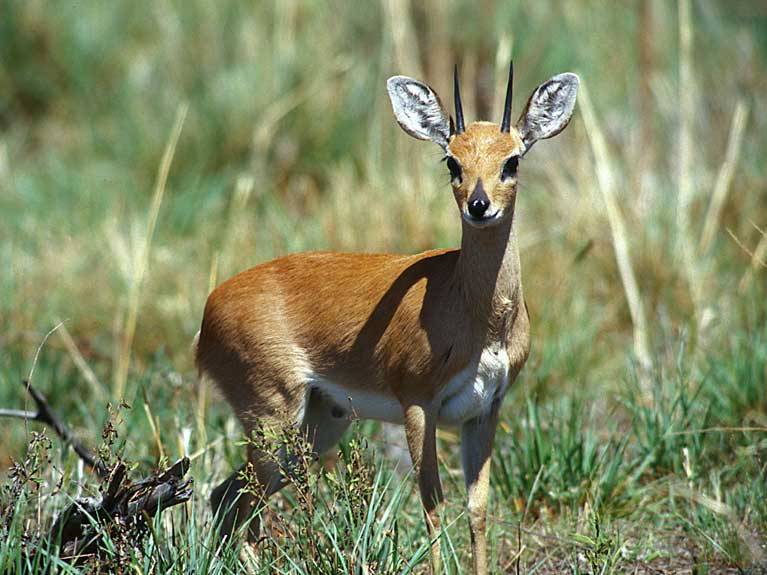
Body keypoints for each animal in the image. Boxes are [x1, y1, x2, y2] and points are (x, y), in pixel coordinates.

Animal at [195, 63, 580, 575]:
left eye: (512, 161)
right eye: (452, 162)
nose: (479, 206)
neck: (475, 314)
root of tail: (210, 308)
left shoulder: (485, 410)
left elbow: (477, 507)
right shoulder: (419, 405)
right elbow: (433, 502)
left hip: (319, 425)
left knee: (226, 496)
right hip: (273, 417)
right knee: (245, 503)